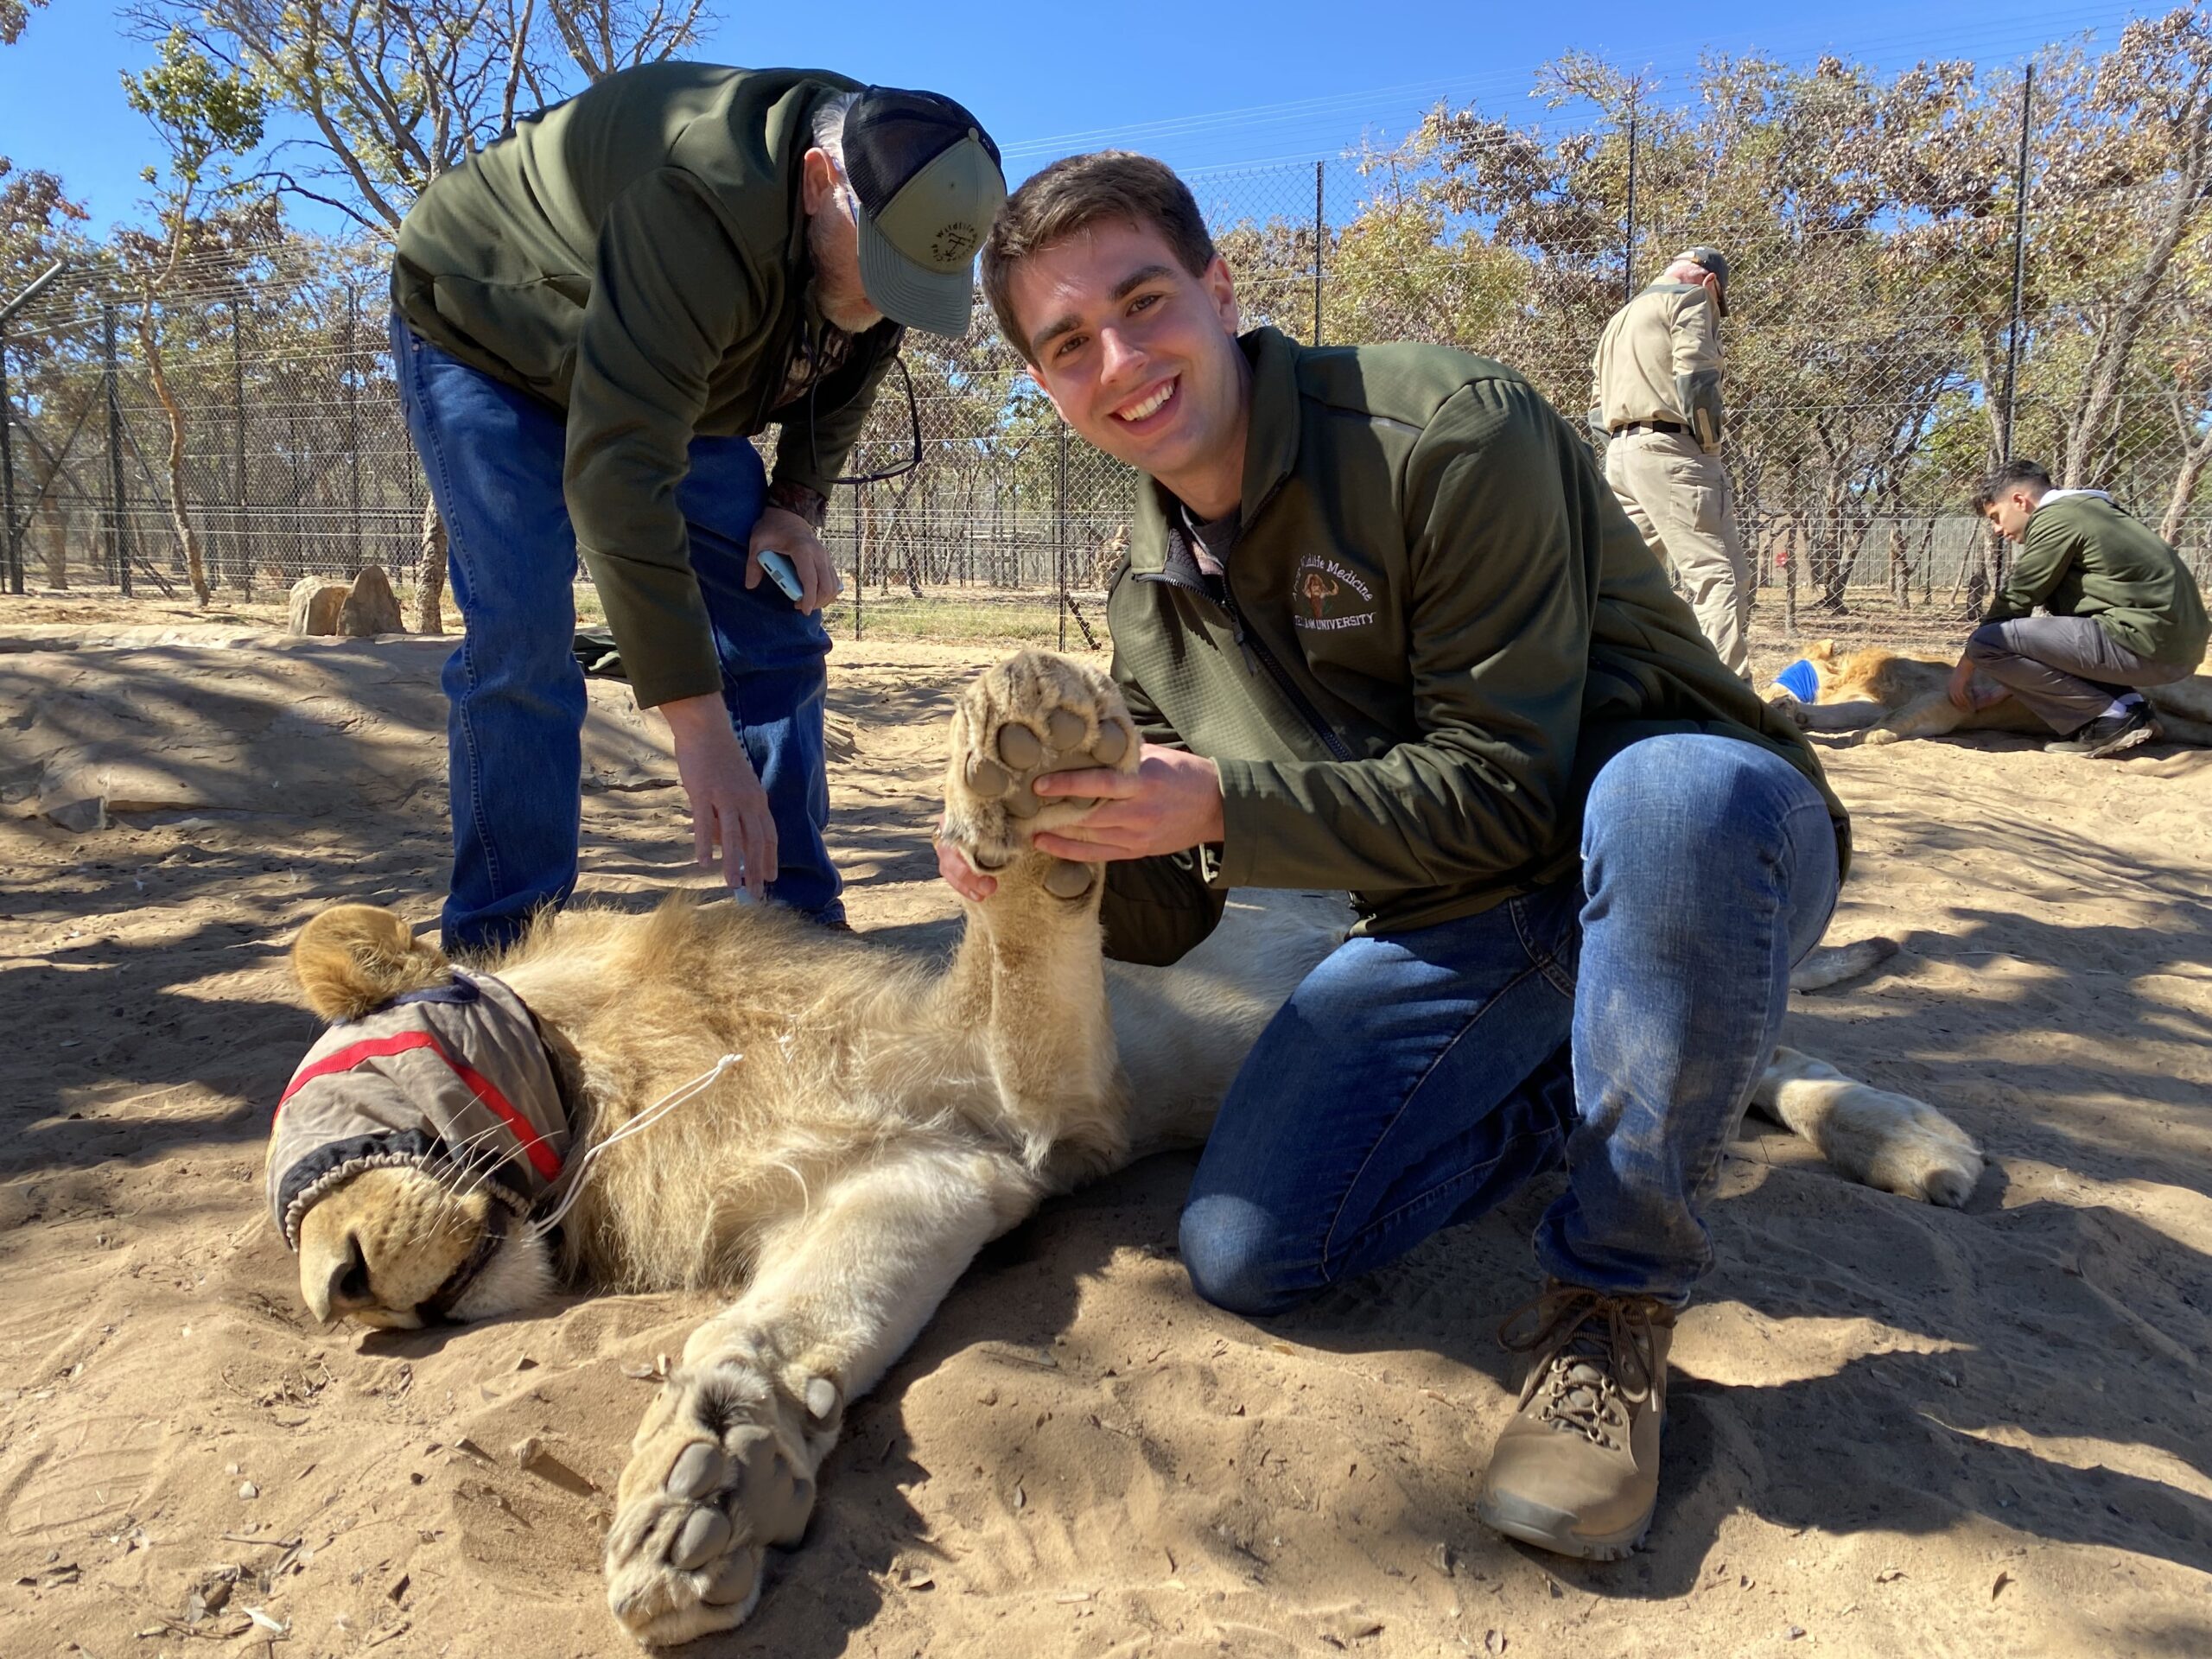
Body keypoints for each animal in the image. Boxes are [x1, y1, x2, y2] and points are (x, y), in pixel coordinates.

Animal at [271, 650, 1991, 1654]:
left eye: (346, 1096)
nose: (340, 1292)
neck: (647, 1091)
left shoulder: (1044, 1096)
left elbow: (1027, 924)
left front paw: (1037, 756)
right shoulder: (939, 1176)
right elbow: (767, 1338)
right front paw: (708, 1491)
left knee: (1754, 1054)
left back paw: (1922, 1147)